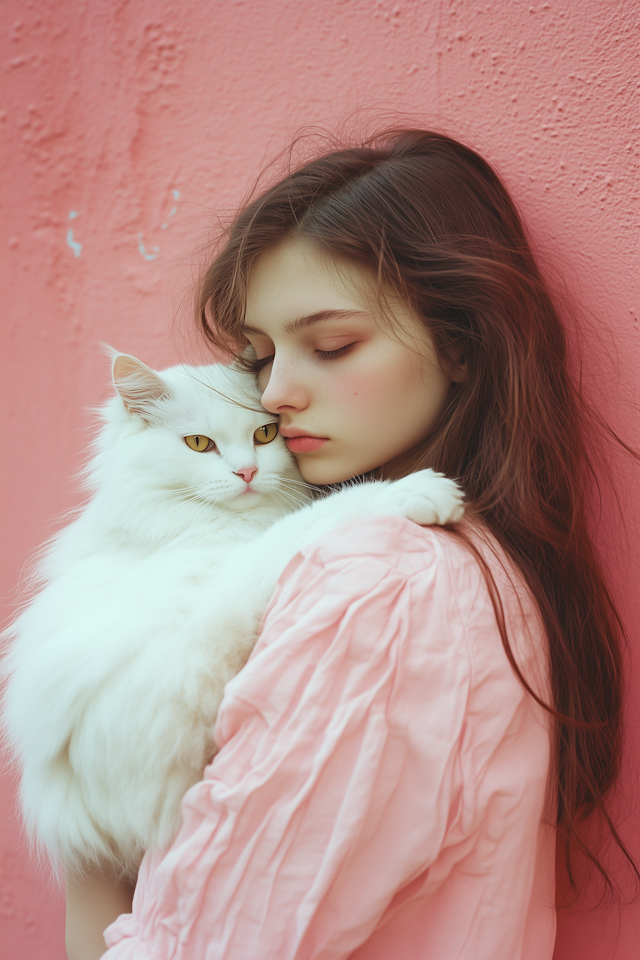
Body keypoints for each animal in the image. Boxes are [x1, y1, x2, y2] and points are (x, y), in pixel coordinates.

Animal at [0, 352, 460, 876]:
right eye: (199, 443)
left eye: (266, 434)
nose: (246, 473)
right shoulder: (201, 626)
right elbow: (311, 521)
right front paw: (416, 491)